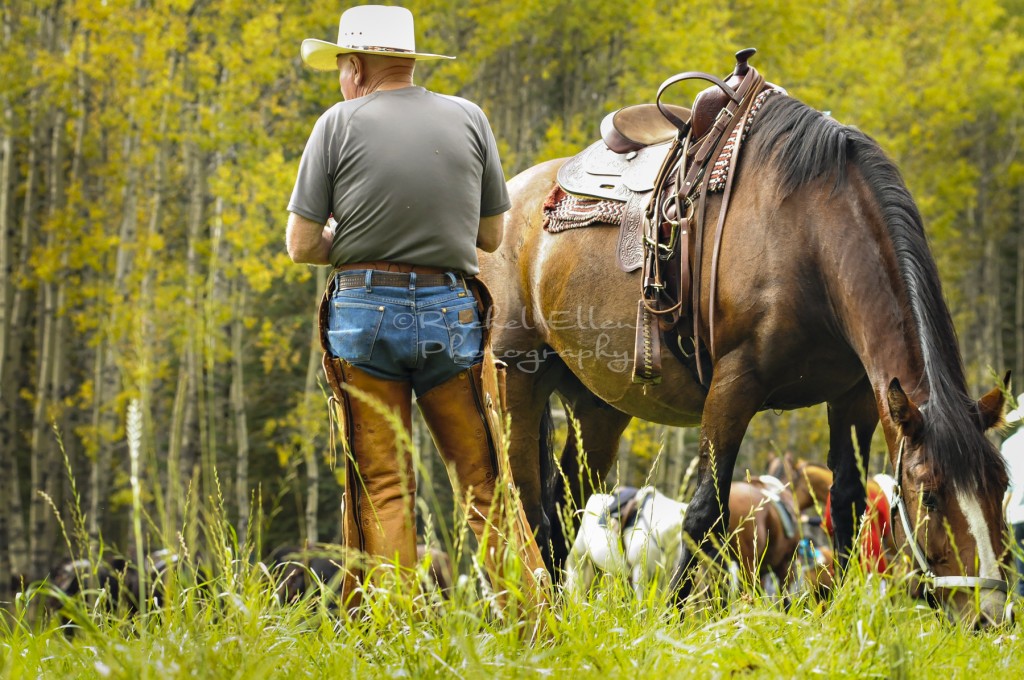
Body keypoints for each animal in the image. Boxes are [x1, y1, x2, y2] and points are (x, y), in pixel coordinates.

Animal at [483, 82, 1011, 622]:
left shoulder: (858, 395)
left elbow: (846, 505)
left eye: (1001, 488)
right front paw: (672, 618)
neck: (810, 237)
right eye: (930, 495)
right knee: (524, 508)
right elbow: (703, 513)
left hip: (599, 408)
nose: (989, 611)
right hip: (516, 382)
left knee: (562, 512)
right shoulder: (734, 386)